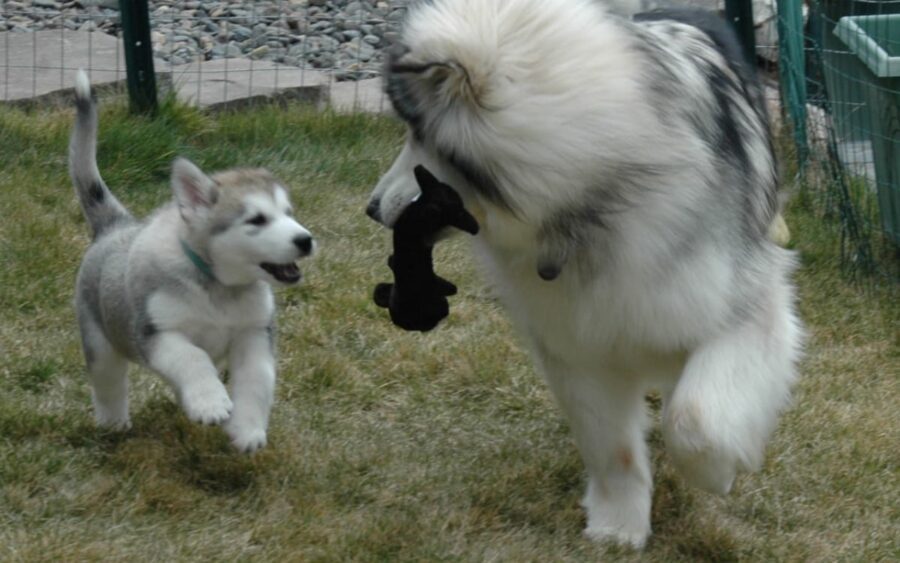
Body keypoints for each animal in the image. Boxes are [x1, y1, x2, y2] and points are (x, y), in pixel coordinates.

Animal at [67, 71, 312, 454]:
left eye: (288, 214)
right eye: (256, 219)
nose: (306, 240)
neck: (218, 286)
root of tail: (116, 225)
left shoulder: (255, 333)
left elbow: (258, 380)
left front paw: (247, 429)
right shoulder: (157, 333)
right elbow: (193, 357)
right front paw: (211, 404)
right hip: (100, 342)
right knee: (108, 383)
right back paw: (113, 424)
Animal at [370, 0, 804, 548]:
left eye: (418, 134)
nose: (371, 208)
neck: (587, 205)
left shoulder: (748, 311)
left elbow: (695, 418)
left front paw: (715, 473)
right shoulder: (575, 345)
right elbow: (611, 447)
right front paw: (618, 527)